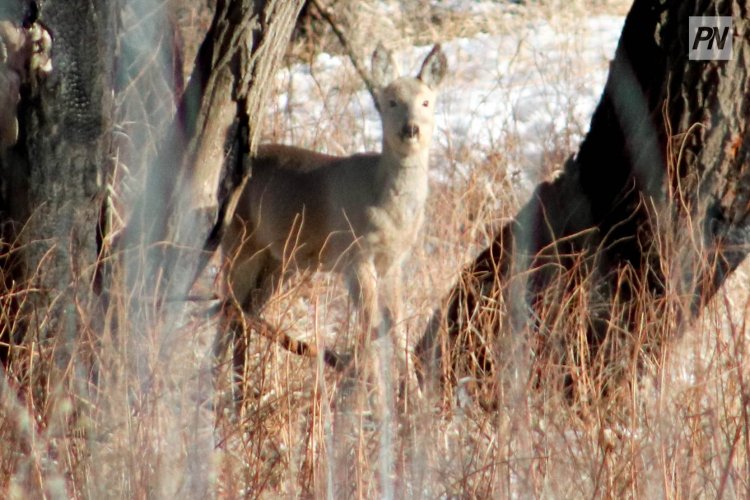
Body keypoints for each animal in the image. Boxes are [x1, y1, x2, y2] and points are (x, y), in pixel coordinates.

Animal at [217, 43, 450, 390]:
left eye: (426, 101)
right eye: (391, 101)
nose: (411, 129)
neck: (386, 205)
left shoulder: (393, 261)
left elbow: (396, 326)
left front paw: (413, 394)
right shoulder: (355, 254)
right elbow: (369, 327)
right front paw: (369, 390)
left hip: (279, 261)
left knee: (245, 314)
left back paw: (244, 387)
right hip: (240, 241)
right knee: (227, 311)